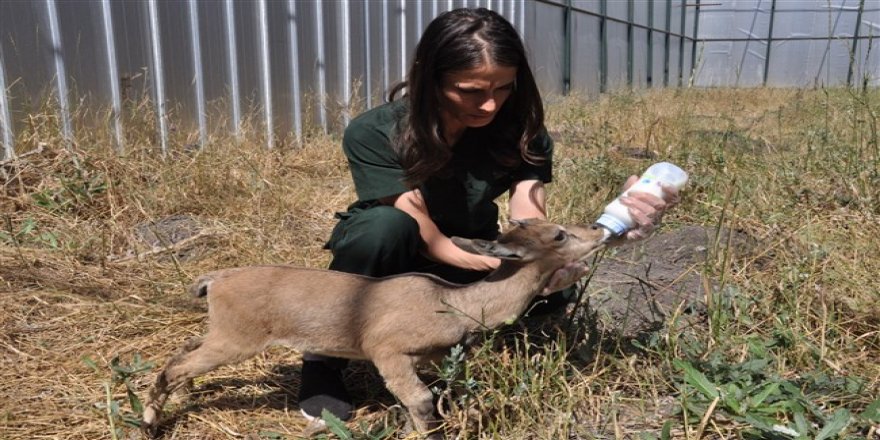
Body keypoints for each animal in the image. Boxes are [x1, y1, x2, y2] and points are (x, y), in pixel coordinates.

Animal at [143, 218, 604, 438]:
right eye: (559, 235)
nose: (599, 229)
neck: (455, 304)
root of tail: (216, 279)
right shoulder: (388, 351)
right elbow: (420, 401)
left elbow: (417, 402)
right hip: (237, 339)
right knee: (176, 366)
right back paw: (149, 423)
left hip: (222, 332)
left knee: (184, 350)